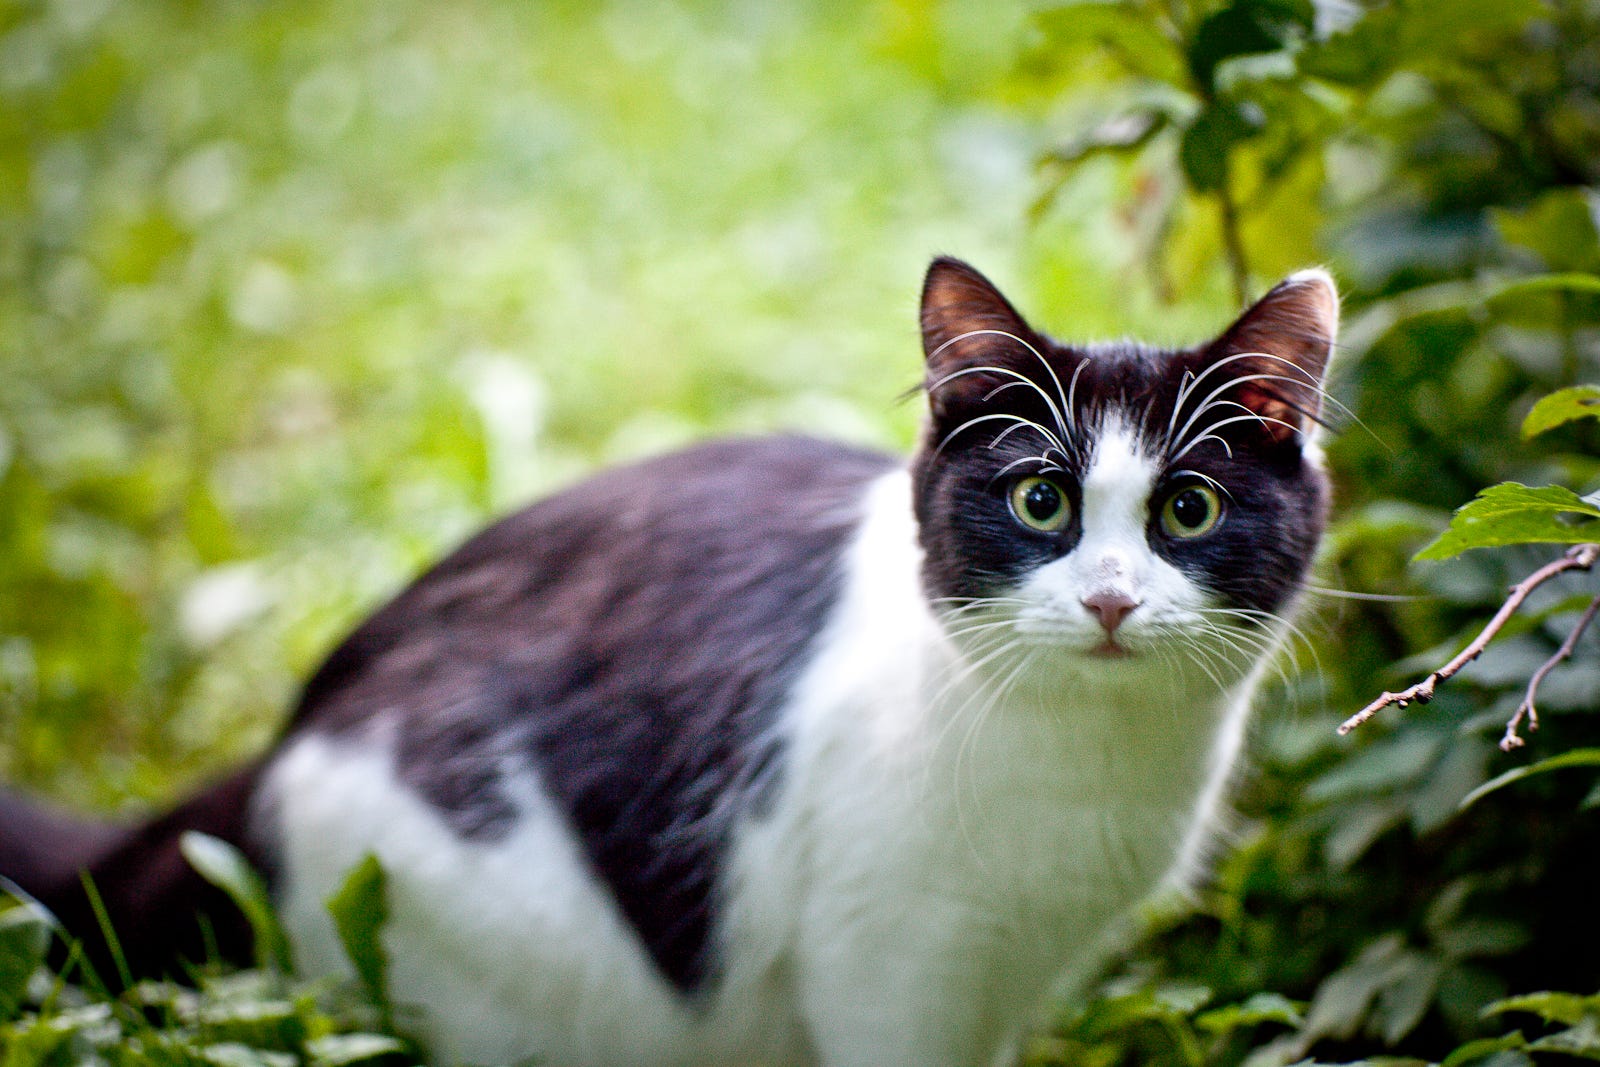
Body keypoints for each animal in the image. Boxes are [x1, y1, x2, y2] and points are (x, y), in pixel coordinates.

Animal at [0, 259, 1337, 1067]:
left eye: (1189, 510)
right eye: (1041, 500)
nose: (1110, 598)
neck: (1082, 768)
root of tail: (286, 733)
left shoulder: (1008, 977)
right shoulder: (889, 956)